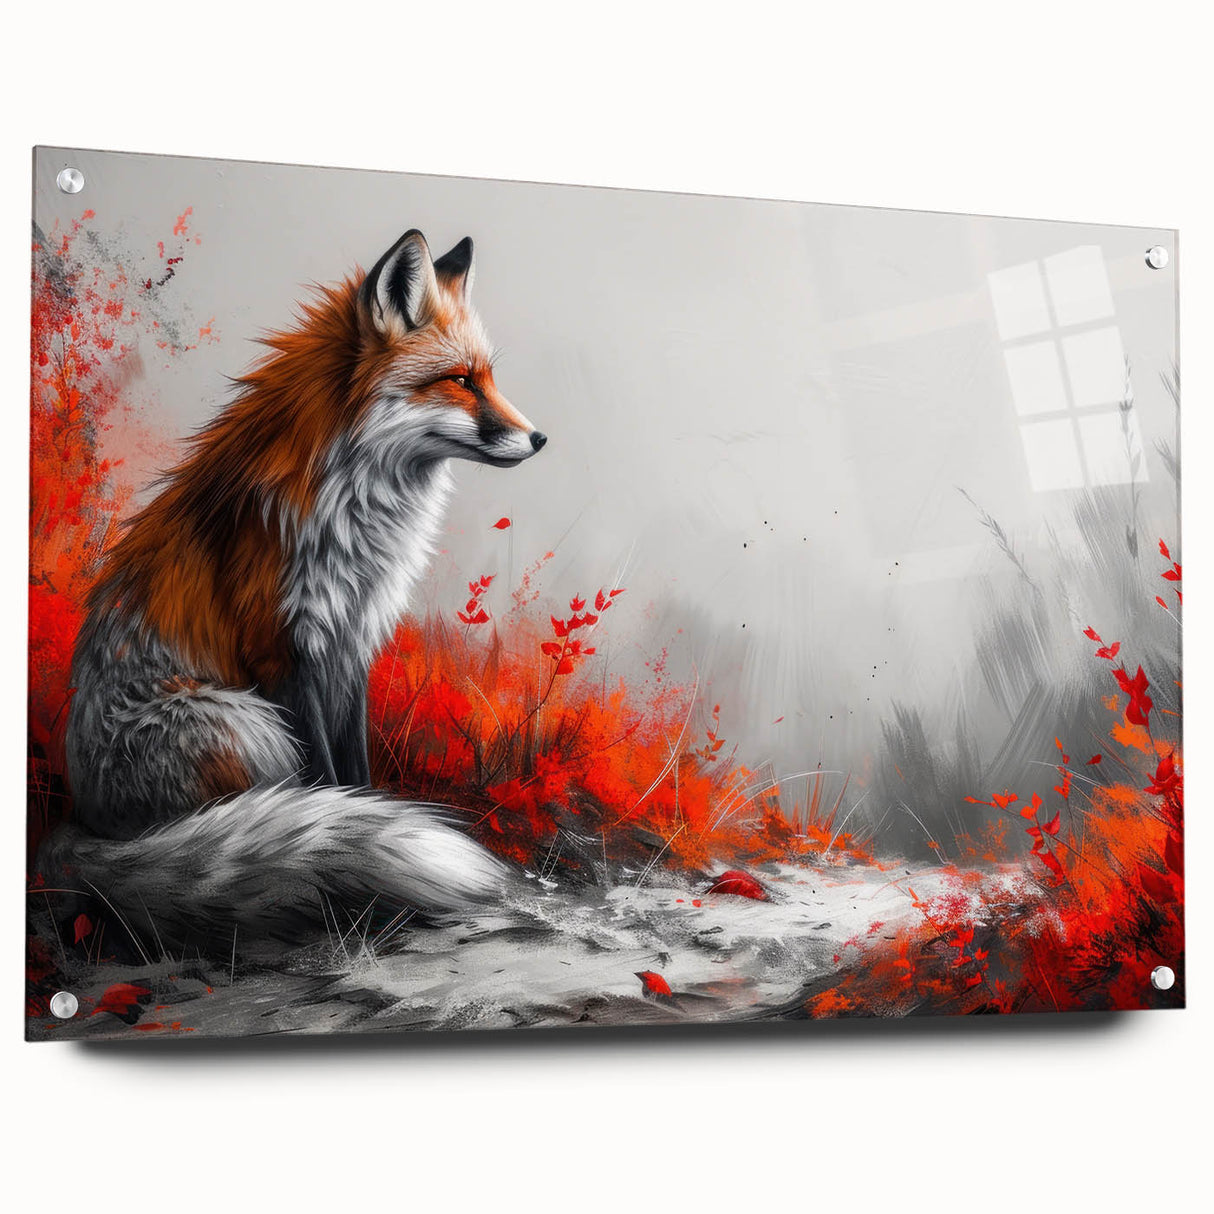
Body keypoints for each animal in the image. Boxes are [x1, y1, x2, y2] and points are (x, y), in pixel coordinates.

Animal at [44, 229, 546, 952]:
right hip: (247, 724)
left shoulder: (352, 640)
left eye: (490, 378)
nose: (539, 438)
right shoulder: (283, 649)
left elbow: (356, 778)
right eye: (459, 381)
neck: (357, 514)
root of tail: (82, 823)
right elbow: (327, 787)